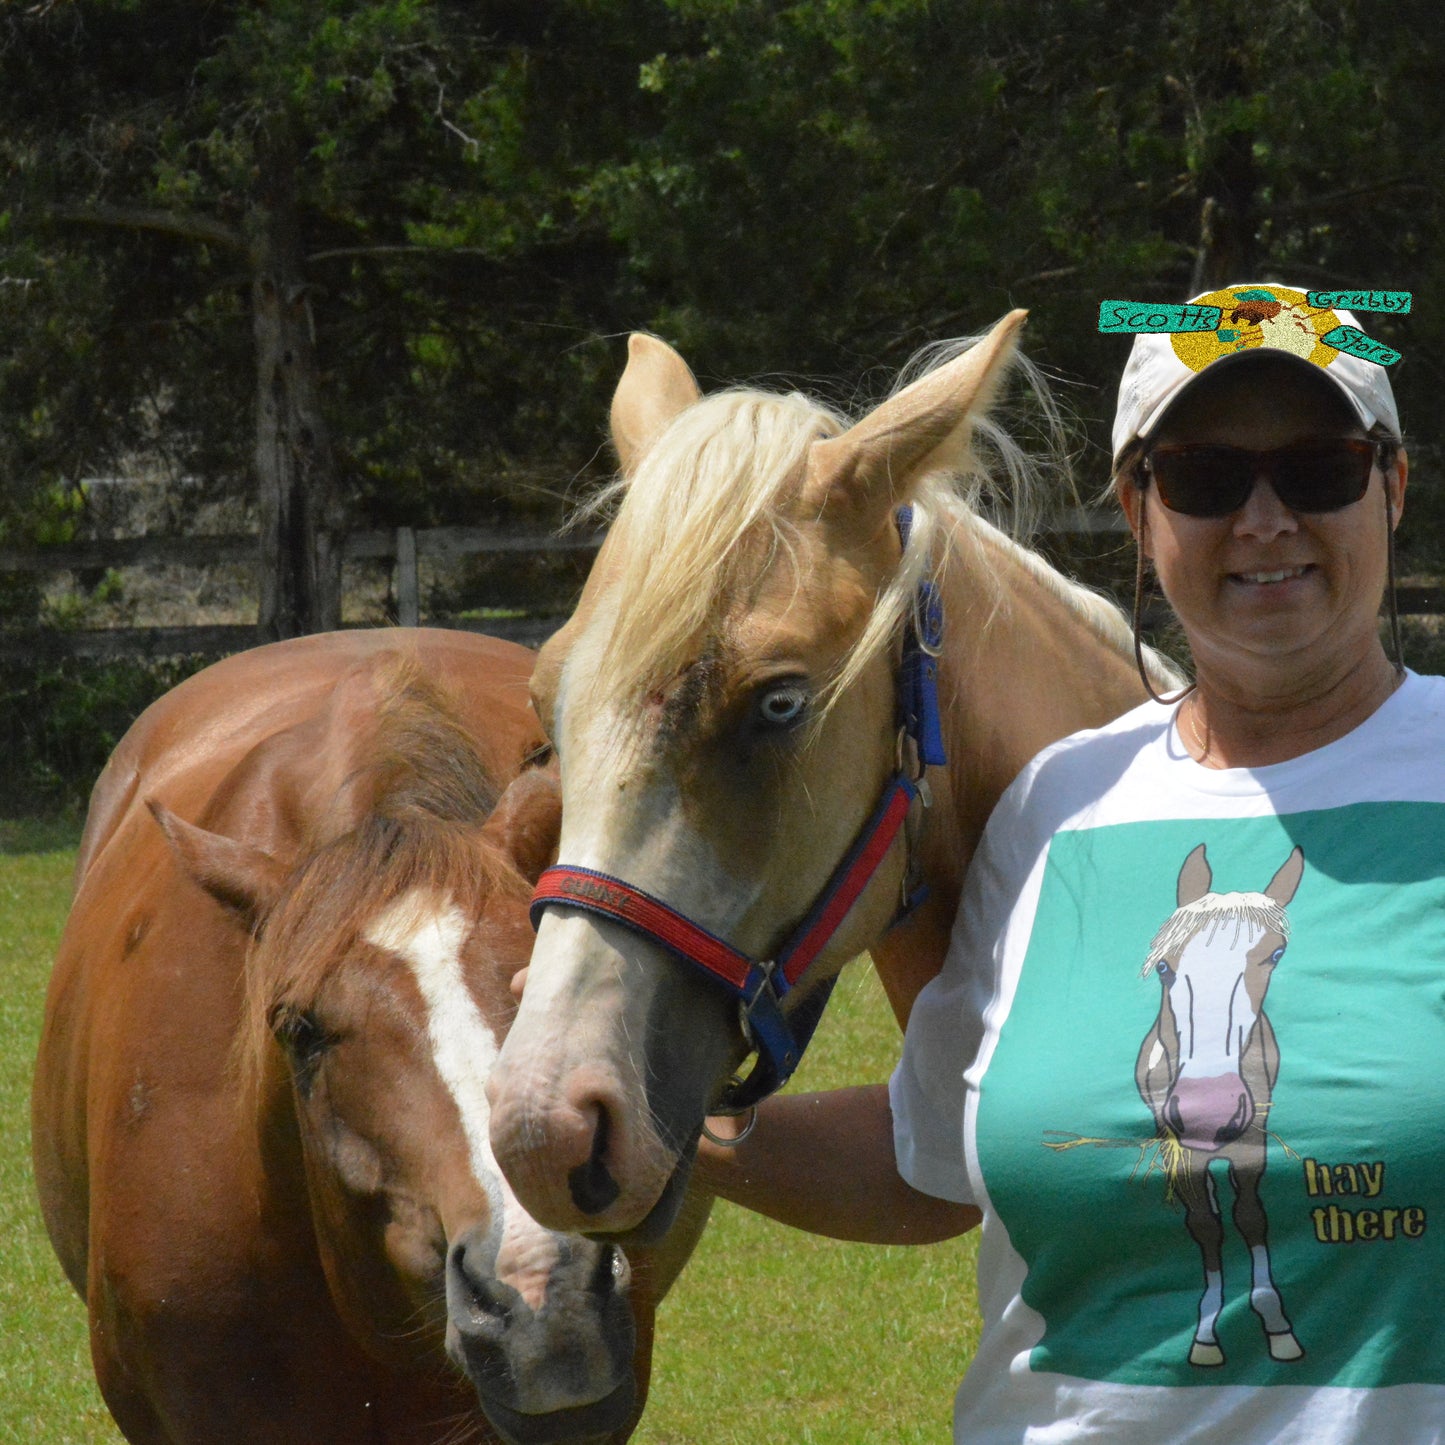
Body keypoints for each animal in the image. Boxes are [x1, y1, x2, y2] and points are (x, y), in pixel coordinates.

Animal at [1138, 843, 1312, 1369]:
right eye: (1164, 966)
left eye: (1275, 954)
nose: (1209, 1114)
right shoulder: (1183, 1150)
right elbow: (1205, 1226)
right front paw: (1206, 1335)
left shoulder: (1253, 1141)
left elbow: (1252, 1217)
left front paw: (1277, 1325)